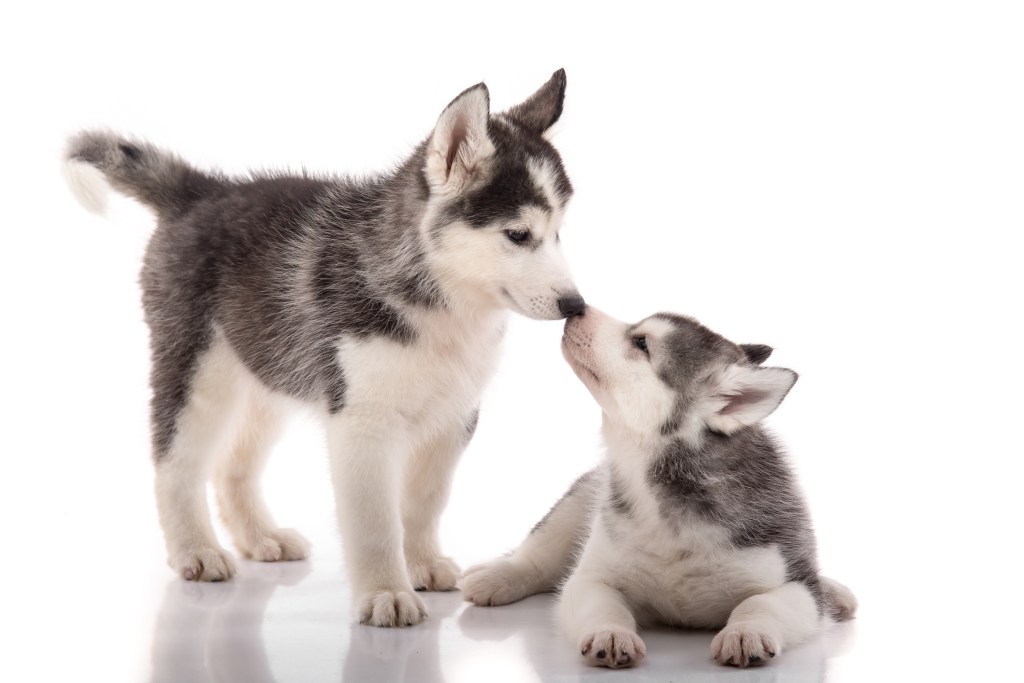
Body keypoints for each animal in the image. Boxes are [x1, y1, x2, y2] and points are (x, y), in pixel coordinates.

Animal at [66, 72, 585, 626]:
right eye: (518, 234)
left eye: (559, 233)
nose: (575, 305)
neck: (441, 304)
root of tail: (203, 190)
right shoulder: (362, 420)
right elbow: (375, 520)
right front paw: (386, 592)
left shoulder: (454, 417)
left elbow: (424, 501)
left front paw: (421, 563)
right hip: (198, 372)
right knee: (176, 464)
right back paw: (196, 550)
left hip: (269, 370)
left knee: (232, 464)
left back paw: (261, 537)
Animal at [464, 309, 856, 667]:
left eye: (641, 343)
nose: (576, 308)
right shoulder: (591, 578)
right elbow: (602, 604)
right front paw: (611, 633)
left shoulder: (794, 582)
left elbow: (762, 602)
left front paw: (746, 632)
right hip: (577, 501)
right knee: (537, 555)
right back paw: (497, 576)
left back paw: (835, 592)